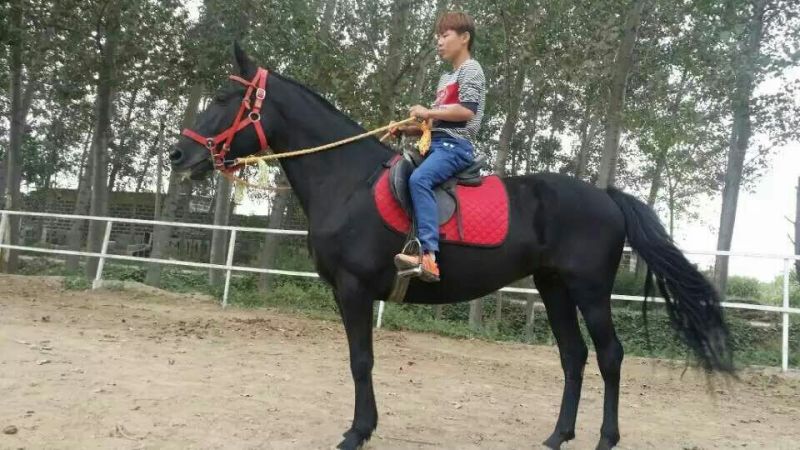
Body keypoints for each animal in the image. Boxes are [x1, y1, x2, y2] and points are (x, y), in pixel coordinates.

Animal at [170, 43, 734, 450]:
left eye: (222, 98)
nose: (178, 155)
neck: (347, 181)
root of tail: (607, 197)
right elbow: (360, 360)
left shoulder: (353, 290)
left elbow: (360, 360)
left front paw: (357, 432)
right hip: (553, 287)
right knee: (573, 356)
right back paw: (557, 436)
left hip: (590, 290)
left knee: (610, 355)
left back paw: (604, 440)